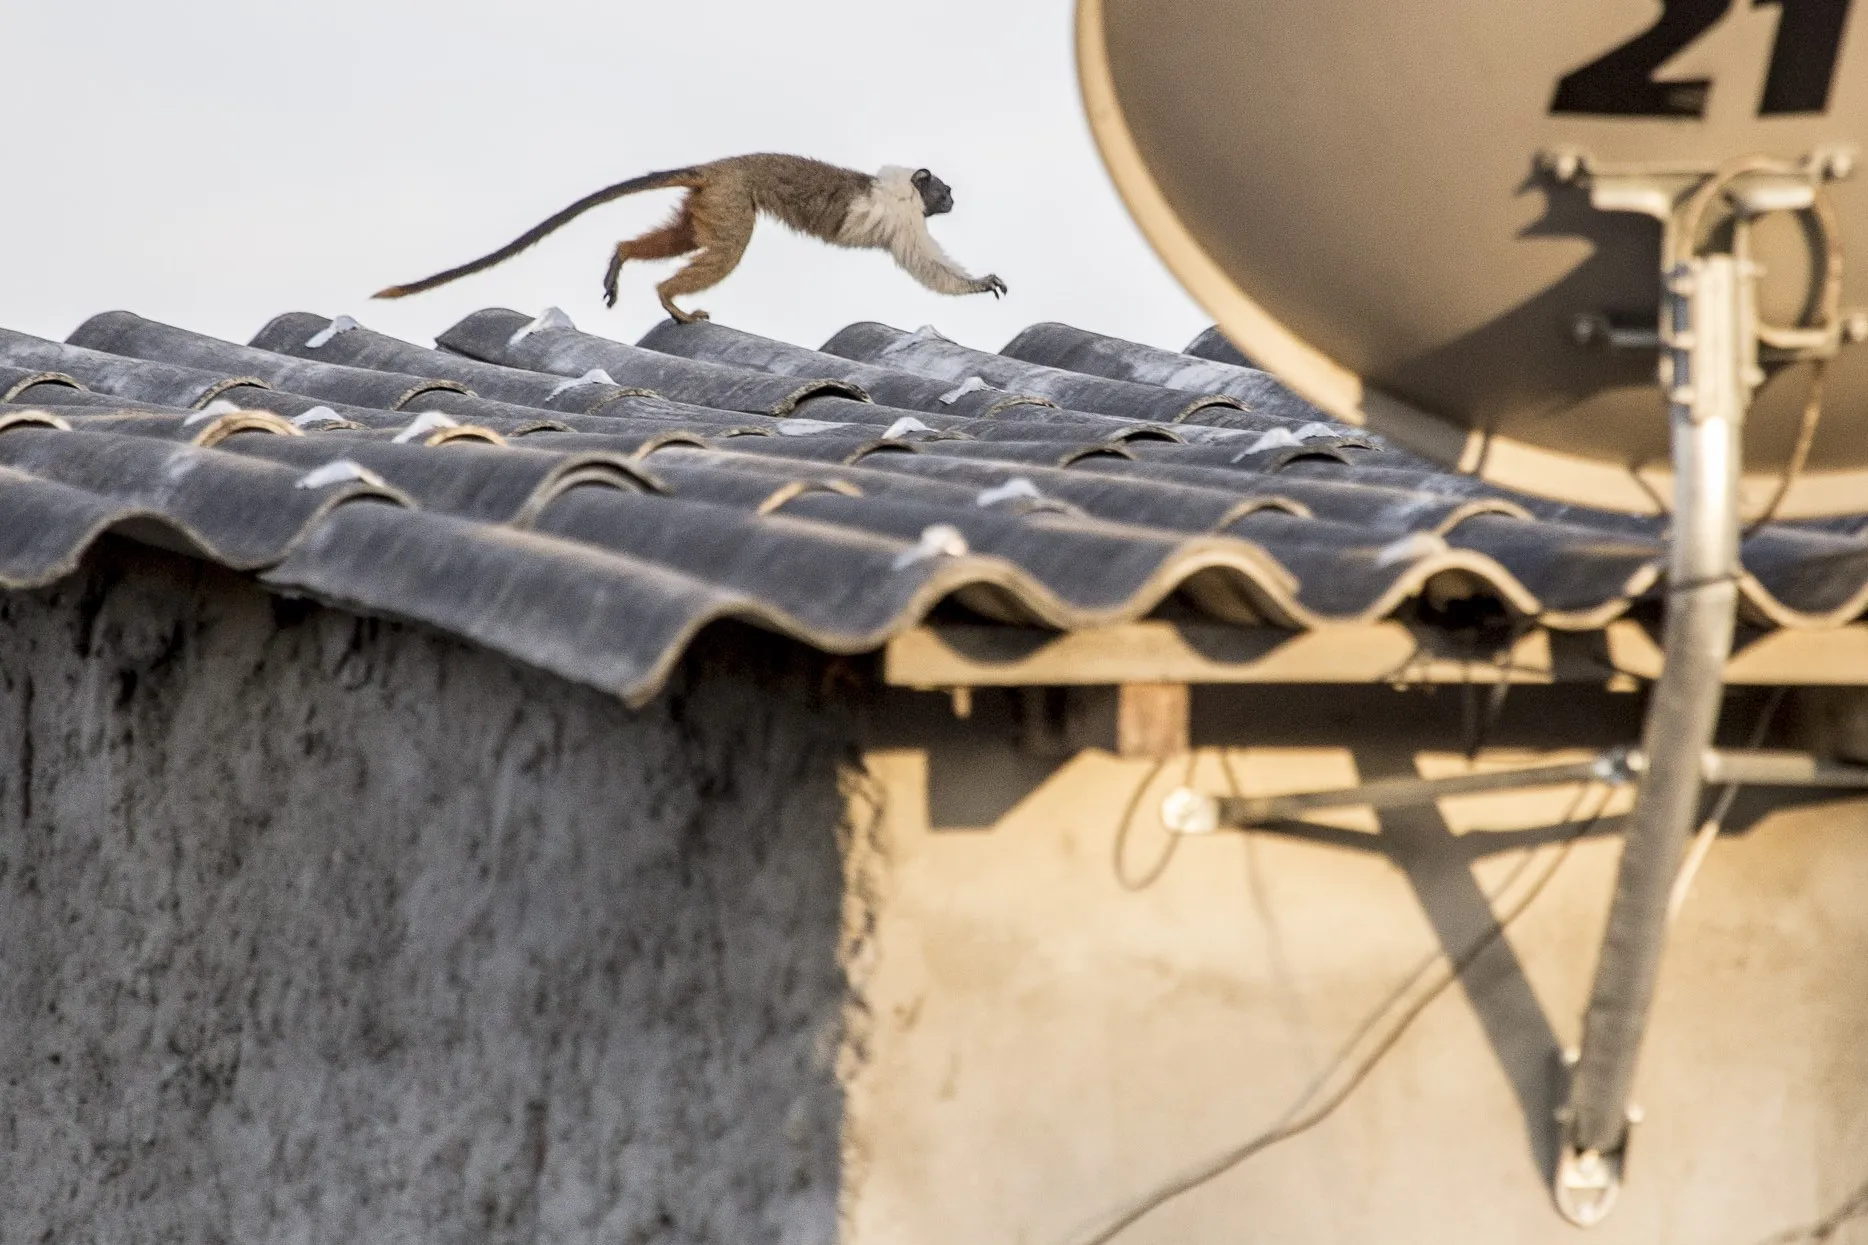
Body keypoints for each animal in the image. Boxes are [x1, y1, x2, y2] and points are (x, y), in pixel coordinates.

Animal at [375, 150, 1008, 321]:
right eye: (945, 191)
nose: (953, 199)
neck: (905, 189)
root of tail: (718, 167)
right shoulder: (906, 218)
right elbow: (928, 265)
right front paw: (979, 284)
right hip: (731, 199)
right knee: (729, 247)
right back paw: (670, 300)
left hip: (709, 201)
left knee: (687, 237)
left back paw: (624, 260)